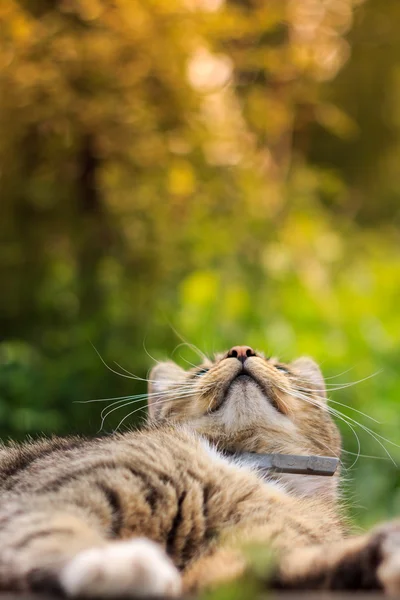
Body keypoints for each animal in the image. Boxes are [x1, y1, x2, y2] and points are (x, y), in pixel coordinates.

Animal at [0, 344, 398, 596]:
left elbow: (302, 565)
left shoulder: (253, 553)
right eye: (202, 371)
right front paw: (117, 563)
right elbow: (52, 531)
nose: (241, 349)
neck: (249, 462)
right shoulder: (51, 493)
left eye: (282, 368)